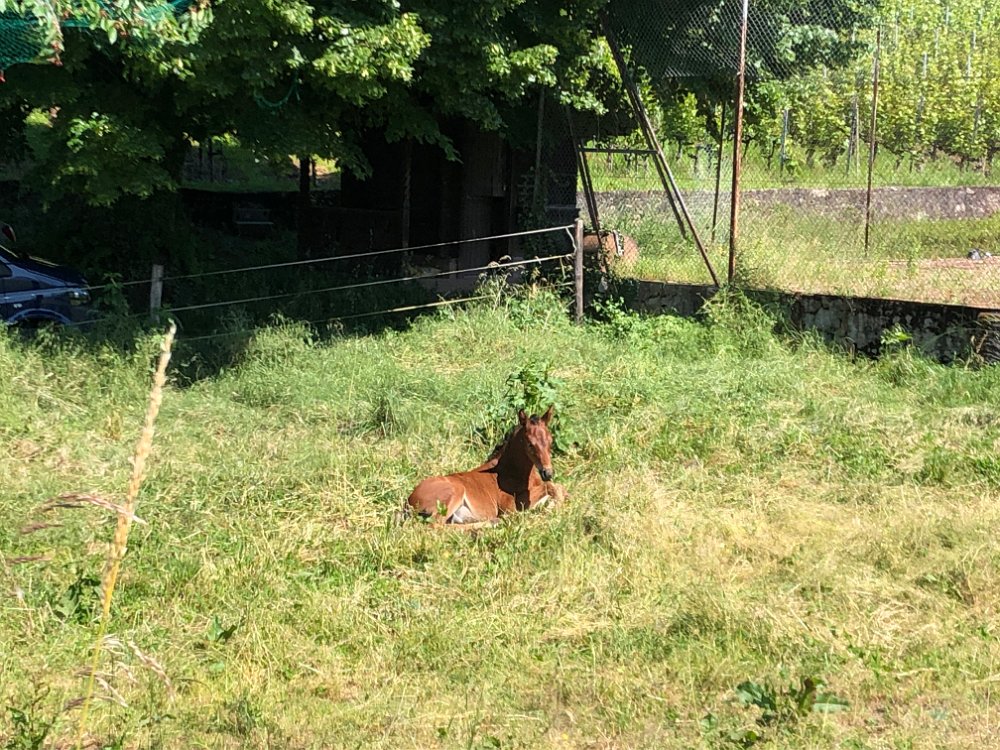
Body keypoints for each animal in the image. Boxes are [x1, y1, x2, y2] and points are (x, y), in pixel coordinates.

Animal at [406, 406, 565, 526]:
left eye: (551, 441)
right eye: (530, 443)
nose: (547, 472)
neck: (512, 471)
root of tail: (409, 500)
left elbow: (558, 487)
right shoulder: (509, 506)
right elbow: (550, 486)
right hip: (454, 493)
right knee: (436, 527)